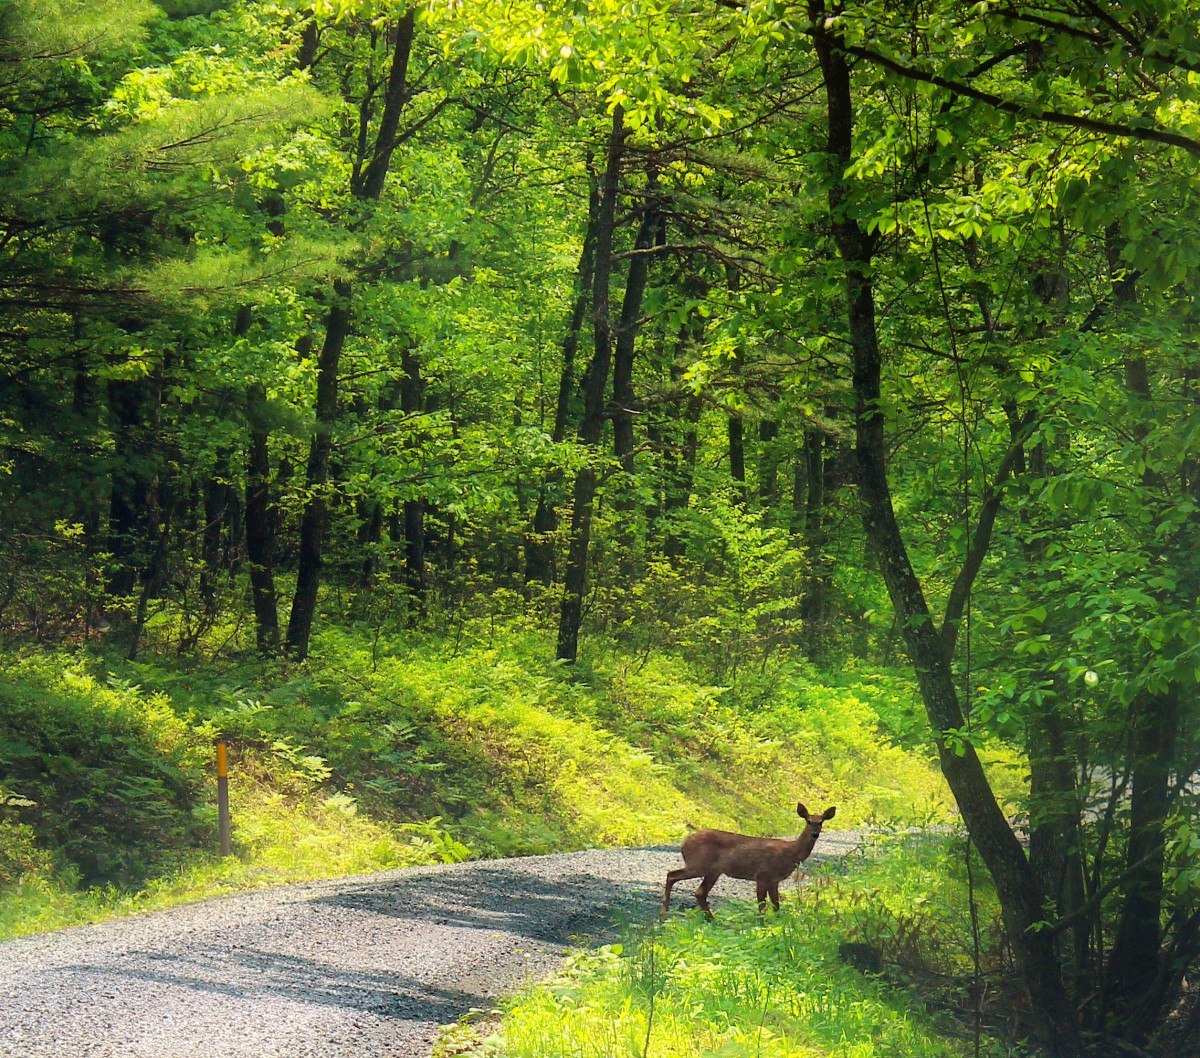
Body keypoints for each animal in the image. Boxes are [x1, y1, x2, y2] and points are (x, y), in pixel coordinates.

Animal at [662, 801, 840, 916]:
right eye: (808, 821)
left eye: (821, 822)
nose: (815, 834)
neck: (790, 853)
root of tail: (684, 842)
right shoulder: (762, 875)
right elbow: (761, 906)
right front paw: (763, 927)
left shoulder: (774, 880)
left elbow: (776, 905)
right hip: (699, 864)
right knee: (672, 875)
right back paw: (665, 913)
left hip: (713, 870)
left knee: (699, 892)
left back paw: (711, 920)